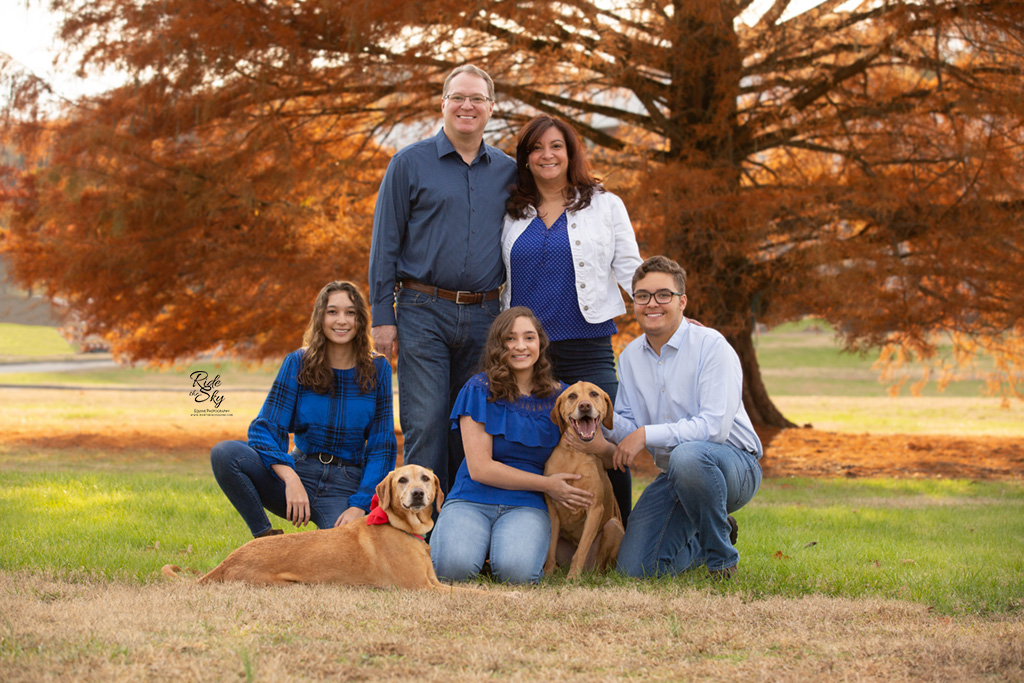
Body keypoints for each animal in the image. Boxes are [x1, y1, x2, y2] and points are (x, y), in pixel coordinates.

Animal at [163, 464, 483, 593]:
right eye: (402, 480)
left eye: (426, 478)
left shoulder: (435, 583)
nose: (417, 494)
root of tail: (228, 560)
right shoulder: (422, 589)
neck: (399, 526)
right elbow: (473, 593)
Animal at [544, 382, 622, 581]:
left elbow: (581, 550)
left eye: (594, 394)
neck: (574, 454)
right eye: (572, 396)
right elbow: (550, 548)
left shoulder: (594, 509)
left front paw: (572, 577)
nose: (585, 406)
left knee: (599, 566)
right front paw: (547, 574)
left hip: (613, 526)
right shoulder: (552, 509)